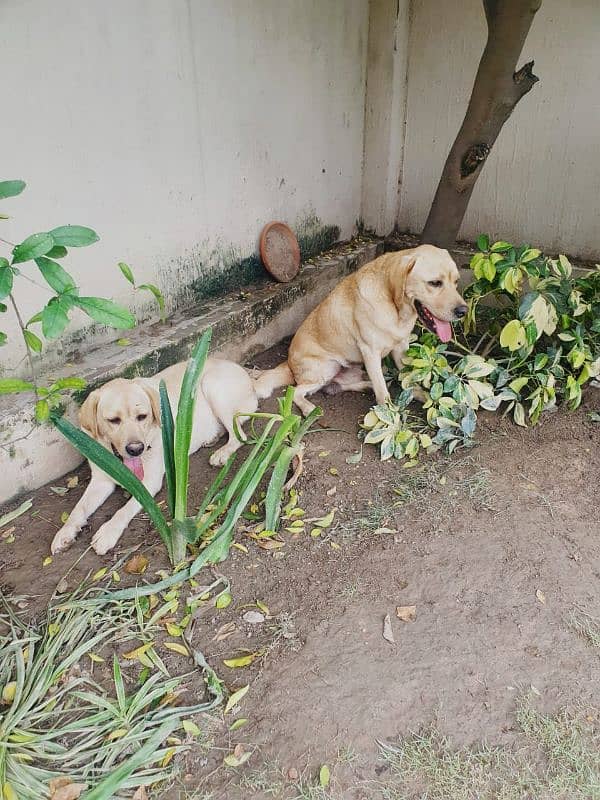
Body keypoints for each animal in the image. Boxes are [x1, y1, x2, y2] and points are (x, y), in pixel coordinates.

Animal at [52, 358, 264, 556]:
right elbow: (77, 509)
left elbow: (123, 510)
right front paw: (65, 532)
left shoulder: (149, 482)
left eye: (142, 416)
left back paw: (223, 452)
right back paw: (211, 438)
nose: (136, 449)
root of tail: (251, 379)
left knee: (239, 435)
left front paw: (108, 532)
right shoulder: (100, 481)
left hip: (212, 386)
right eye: (113, 420)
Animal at [255, 242, 466, 416]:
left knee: (336, 386)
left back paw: (365, 385)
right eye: (435, 283)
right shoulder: (370, 352)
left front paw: (420, 395)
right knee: (296, 391)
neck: (395, 309)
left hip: (351, 369)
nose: (463, 311)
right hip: (328, 367)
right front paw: (390, 419)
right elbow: (382, 392)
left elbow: (409, 377)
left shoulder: (401, 347)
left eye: (456, 282)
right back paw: (308, 408)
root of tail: (288, 363)